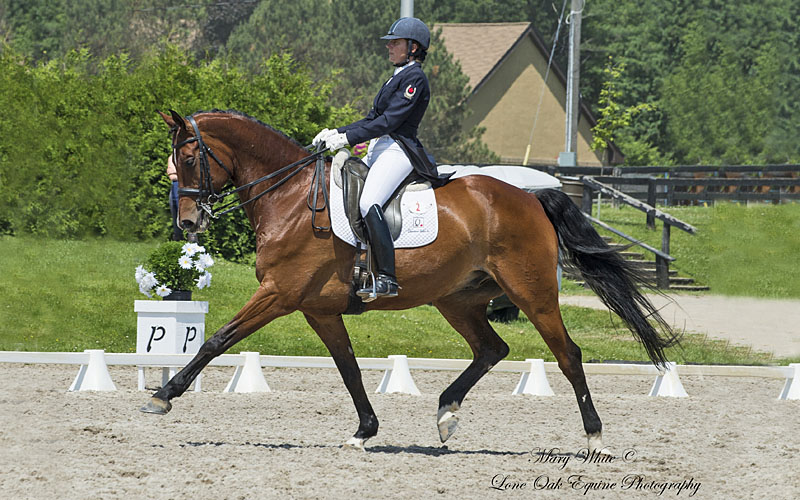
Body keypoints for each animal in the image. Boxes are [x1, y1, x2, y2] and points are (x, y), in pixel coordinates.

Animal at [142, 109, 679, 451]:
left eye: (187, 159)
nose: (188, 223)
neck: (290, 197)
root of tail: (530, 196)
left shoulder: (278, 294)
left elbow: (217, 339)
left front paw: (163, 397)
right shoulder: (318, 308)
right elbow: (349, 368)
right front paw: (364, 430)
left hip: (534, 294)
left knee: (568, 355)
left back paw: (594, 435)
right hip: (458, 300)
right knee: (492, 348)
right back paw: (445, 414)